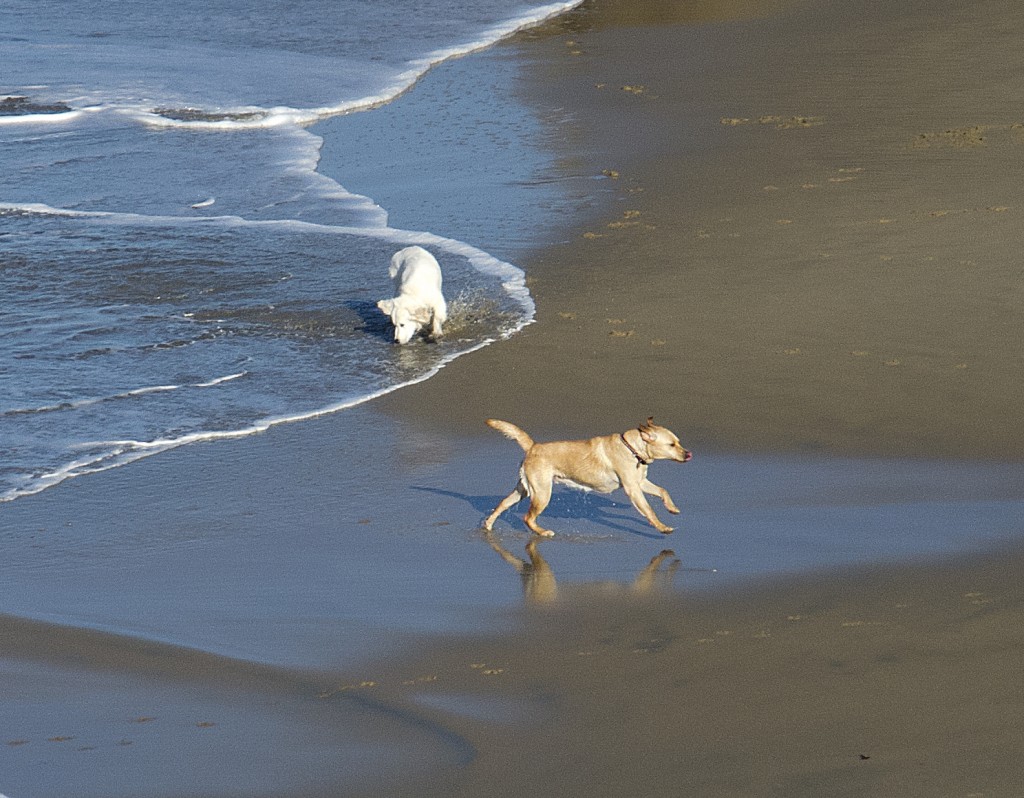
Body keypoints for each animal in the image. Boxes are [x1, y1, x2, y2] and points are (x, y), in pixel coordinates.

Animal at [481, 417, 692, 536]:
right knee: (528, 518)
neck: (633, 449)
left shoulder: (640, 482)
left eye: (678, 442)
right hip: (542, 493)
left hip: (523, 490)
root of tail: (533, 447)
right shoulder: (633, 488)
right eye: (672, 445)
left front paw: (672, 508)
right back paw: (543, 532)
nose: (689, 454)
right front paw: (662, 527)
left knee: (502, 504)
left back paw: (488, 525)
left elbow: (663, 490)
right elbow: (649, 510)